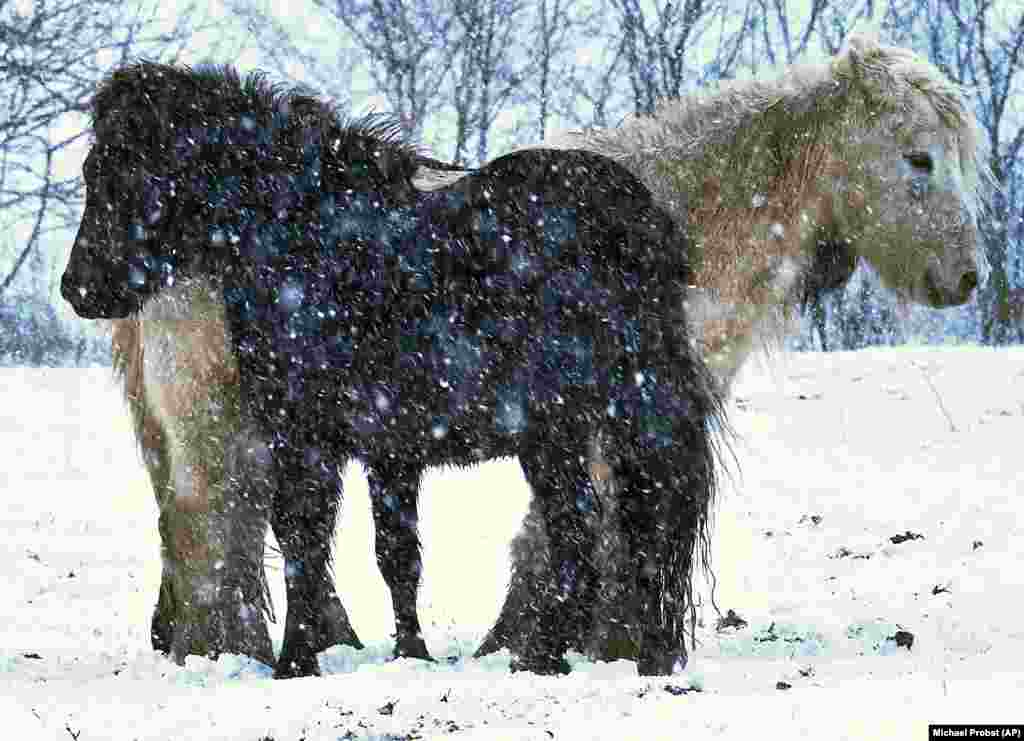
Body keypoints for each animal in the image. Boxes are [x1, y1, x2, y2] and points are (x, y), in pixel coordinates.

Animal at [61, 63, 720, 675]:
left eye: (125, 171)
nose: (77, 287)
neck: (303, 233)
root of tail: (640, 223)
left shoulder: (306, 438)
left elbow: (304, 541)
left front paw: (296, 661)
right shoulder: (391, 450)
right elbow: (396, 557)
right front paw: (410, 653)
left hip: (566, 427)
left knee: (601, 526)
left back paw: (561, 656)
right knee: (617, 524)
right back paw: (602, 656)